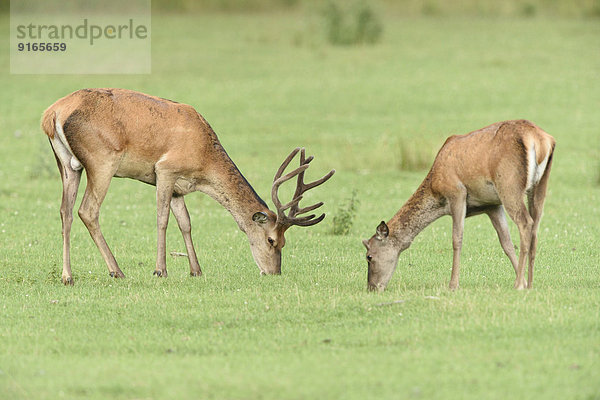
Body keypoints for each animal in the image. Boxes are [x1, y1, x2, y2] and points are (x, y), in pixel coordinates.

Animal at [41, 89, 332, 286]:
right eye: (272, 240)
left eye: (285, 242)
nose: (273, 272)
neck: (203, 162)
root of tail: (51, 114)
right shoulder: (165, 170)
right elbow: (162, 219)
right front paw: (160, 270)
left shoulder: (180, 187)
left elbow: (186, 223)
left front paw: (196, 270)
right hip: (102, 160)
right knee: (87, 211)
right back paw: (117, 271)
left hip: (67, 164)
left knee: (65, 211)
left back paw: (67, 276)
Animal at [360, 120, 552, 292]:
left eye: (369, 256)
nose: (372, 287)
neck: (435, 188)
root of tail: (542, 140)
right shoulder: (491, 205)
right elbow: (506, 242)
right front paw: (524, 281)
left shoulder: (456, 193)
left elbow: (457, 238)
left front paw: (453, 285)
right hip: (539, 185)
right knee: (535, 226)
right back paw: (530, 284)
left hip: (509, 185)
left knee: (525, 222)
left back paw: (517, 285)